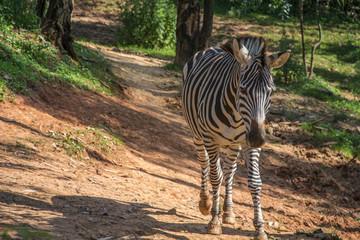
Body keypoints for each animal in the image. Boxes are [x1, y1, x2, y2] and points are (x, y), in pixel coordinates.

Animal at [181, 34, 292, 240]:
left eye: (271, 91)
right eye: (243, 89)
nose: (257, 138)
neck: (237, 115)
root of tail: (213, 47)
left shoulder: (248, 143)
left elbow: (254, 182)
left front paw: (259, 229)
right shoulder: (210, 138)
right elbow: (215, 177)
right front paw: (214, 221)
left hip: (234, 144)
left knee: (229, 170)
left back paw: (229, 212)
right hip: (198, 134)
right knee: (205, 163)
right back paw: (205, 202)